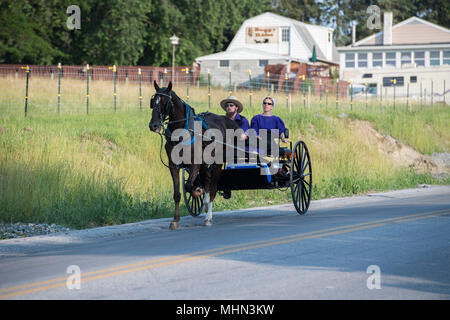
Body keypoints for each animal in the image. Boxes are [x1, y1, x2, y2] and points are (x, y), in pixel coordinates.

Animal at [149, 81, 241, 229]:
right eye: (153, 102)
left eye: (165, 102)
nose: (154, 125)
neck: (183, 131)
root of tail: (224, 120)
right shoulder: (173, 166)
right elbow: (177, 194)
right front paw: (175, 220)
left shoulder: (195, 164)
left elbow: (188, 186)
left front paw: (197, 192)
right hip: (205, 164)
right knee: (207, 180)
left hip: (217, 163)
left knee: (213, 186)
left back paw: (208, 216)